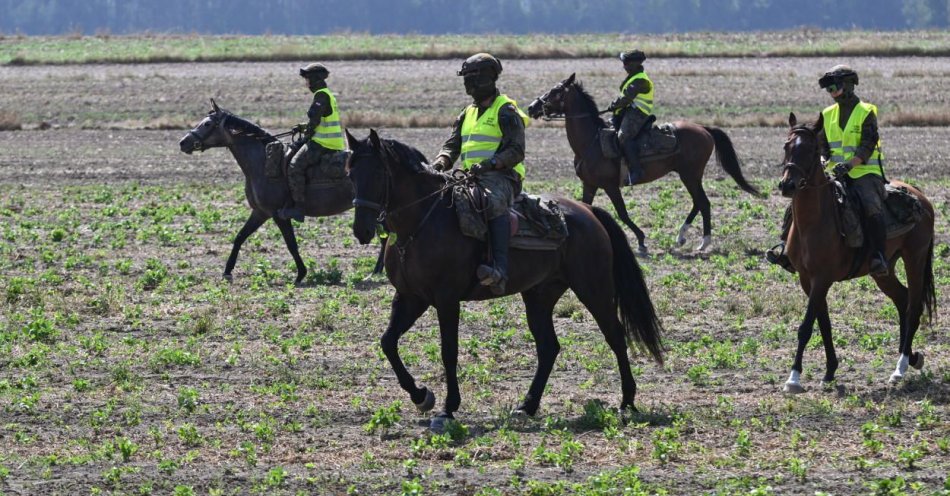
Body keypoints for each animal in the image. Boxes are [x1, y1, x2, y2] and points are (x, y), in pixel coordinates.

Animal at [182, 100, 384, 282]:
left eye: (207, 124)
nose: (183, 143)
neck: (264, 164)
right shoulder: (260, 212)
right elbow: (240, 237)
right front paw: (227, 271)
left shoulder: (278, 214)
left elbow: (291, 244)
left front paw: (301, 274)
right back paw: (376, 272)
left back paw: (376, 272)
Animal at [346, 130, 664, 432]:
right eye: (350, 174)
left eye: (377, 174)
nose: (361, 229)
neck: (422, 221)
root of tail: (588, 212)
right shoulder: (411, 297)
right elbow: (388, 342)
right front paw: (421, 395)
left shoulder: (446, 299)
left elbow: (449, 351)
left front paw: (448, 409)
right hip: (539, 296)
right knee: (548, 347)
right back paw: (527, 406)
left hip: (594, 289)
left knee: (615, 335)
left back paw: (627, 401)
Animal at [524, 75, 764, 254]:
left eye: (556, 91)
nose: (532, 107)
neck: (591, 140)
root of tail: (704, 129)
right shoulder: (589, 184)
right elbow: (585, 207)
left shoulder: (610, 186)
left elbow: (622, 213)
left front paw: (641, 240)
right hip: (689, 175)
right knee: (698, 202)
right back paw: (681, 237)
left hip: (690, 174)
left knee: (703, 203)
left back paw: (703, 243)